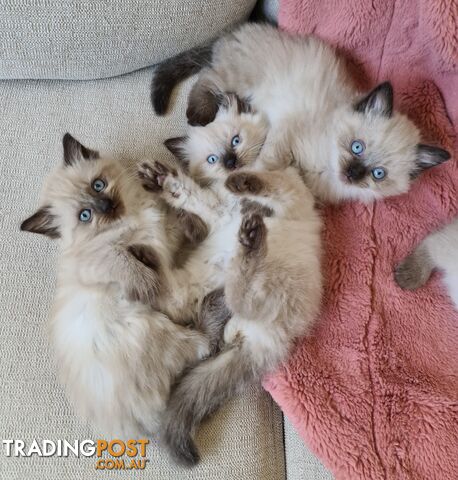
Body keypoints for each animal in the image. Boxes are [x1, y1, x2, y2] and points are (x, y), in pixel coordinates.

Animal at [20, 133, 214, 436]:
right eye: (85, 215)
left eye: (98, 185)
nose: (106, 206)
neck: (131, 219)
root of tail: (131, 424)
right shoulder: (99, 260)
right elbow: (123, 261)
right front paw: (144, 278)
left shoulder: (164, 238)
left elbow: (177, 223)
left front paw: (185, 213)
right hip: (152, 323)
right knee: (192, 329)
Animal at [151, 22, 450, 202]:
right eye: (357, 147)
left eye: (378, 174)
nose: (352, 173)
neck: (325, 166)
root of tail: (233, 31)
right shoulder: (286, 134)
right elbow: (267, 163)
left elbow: (271, 179)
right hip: (236, 78)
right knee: (206, 80)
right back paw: (198, 116)